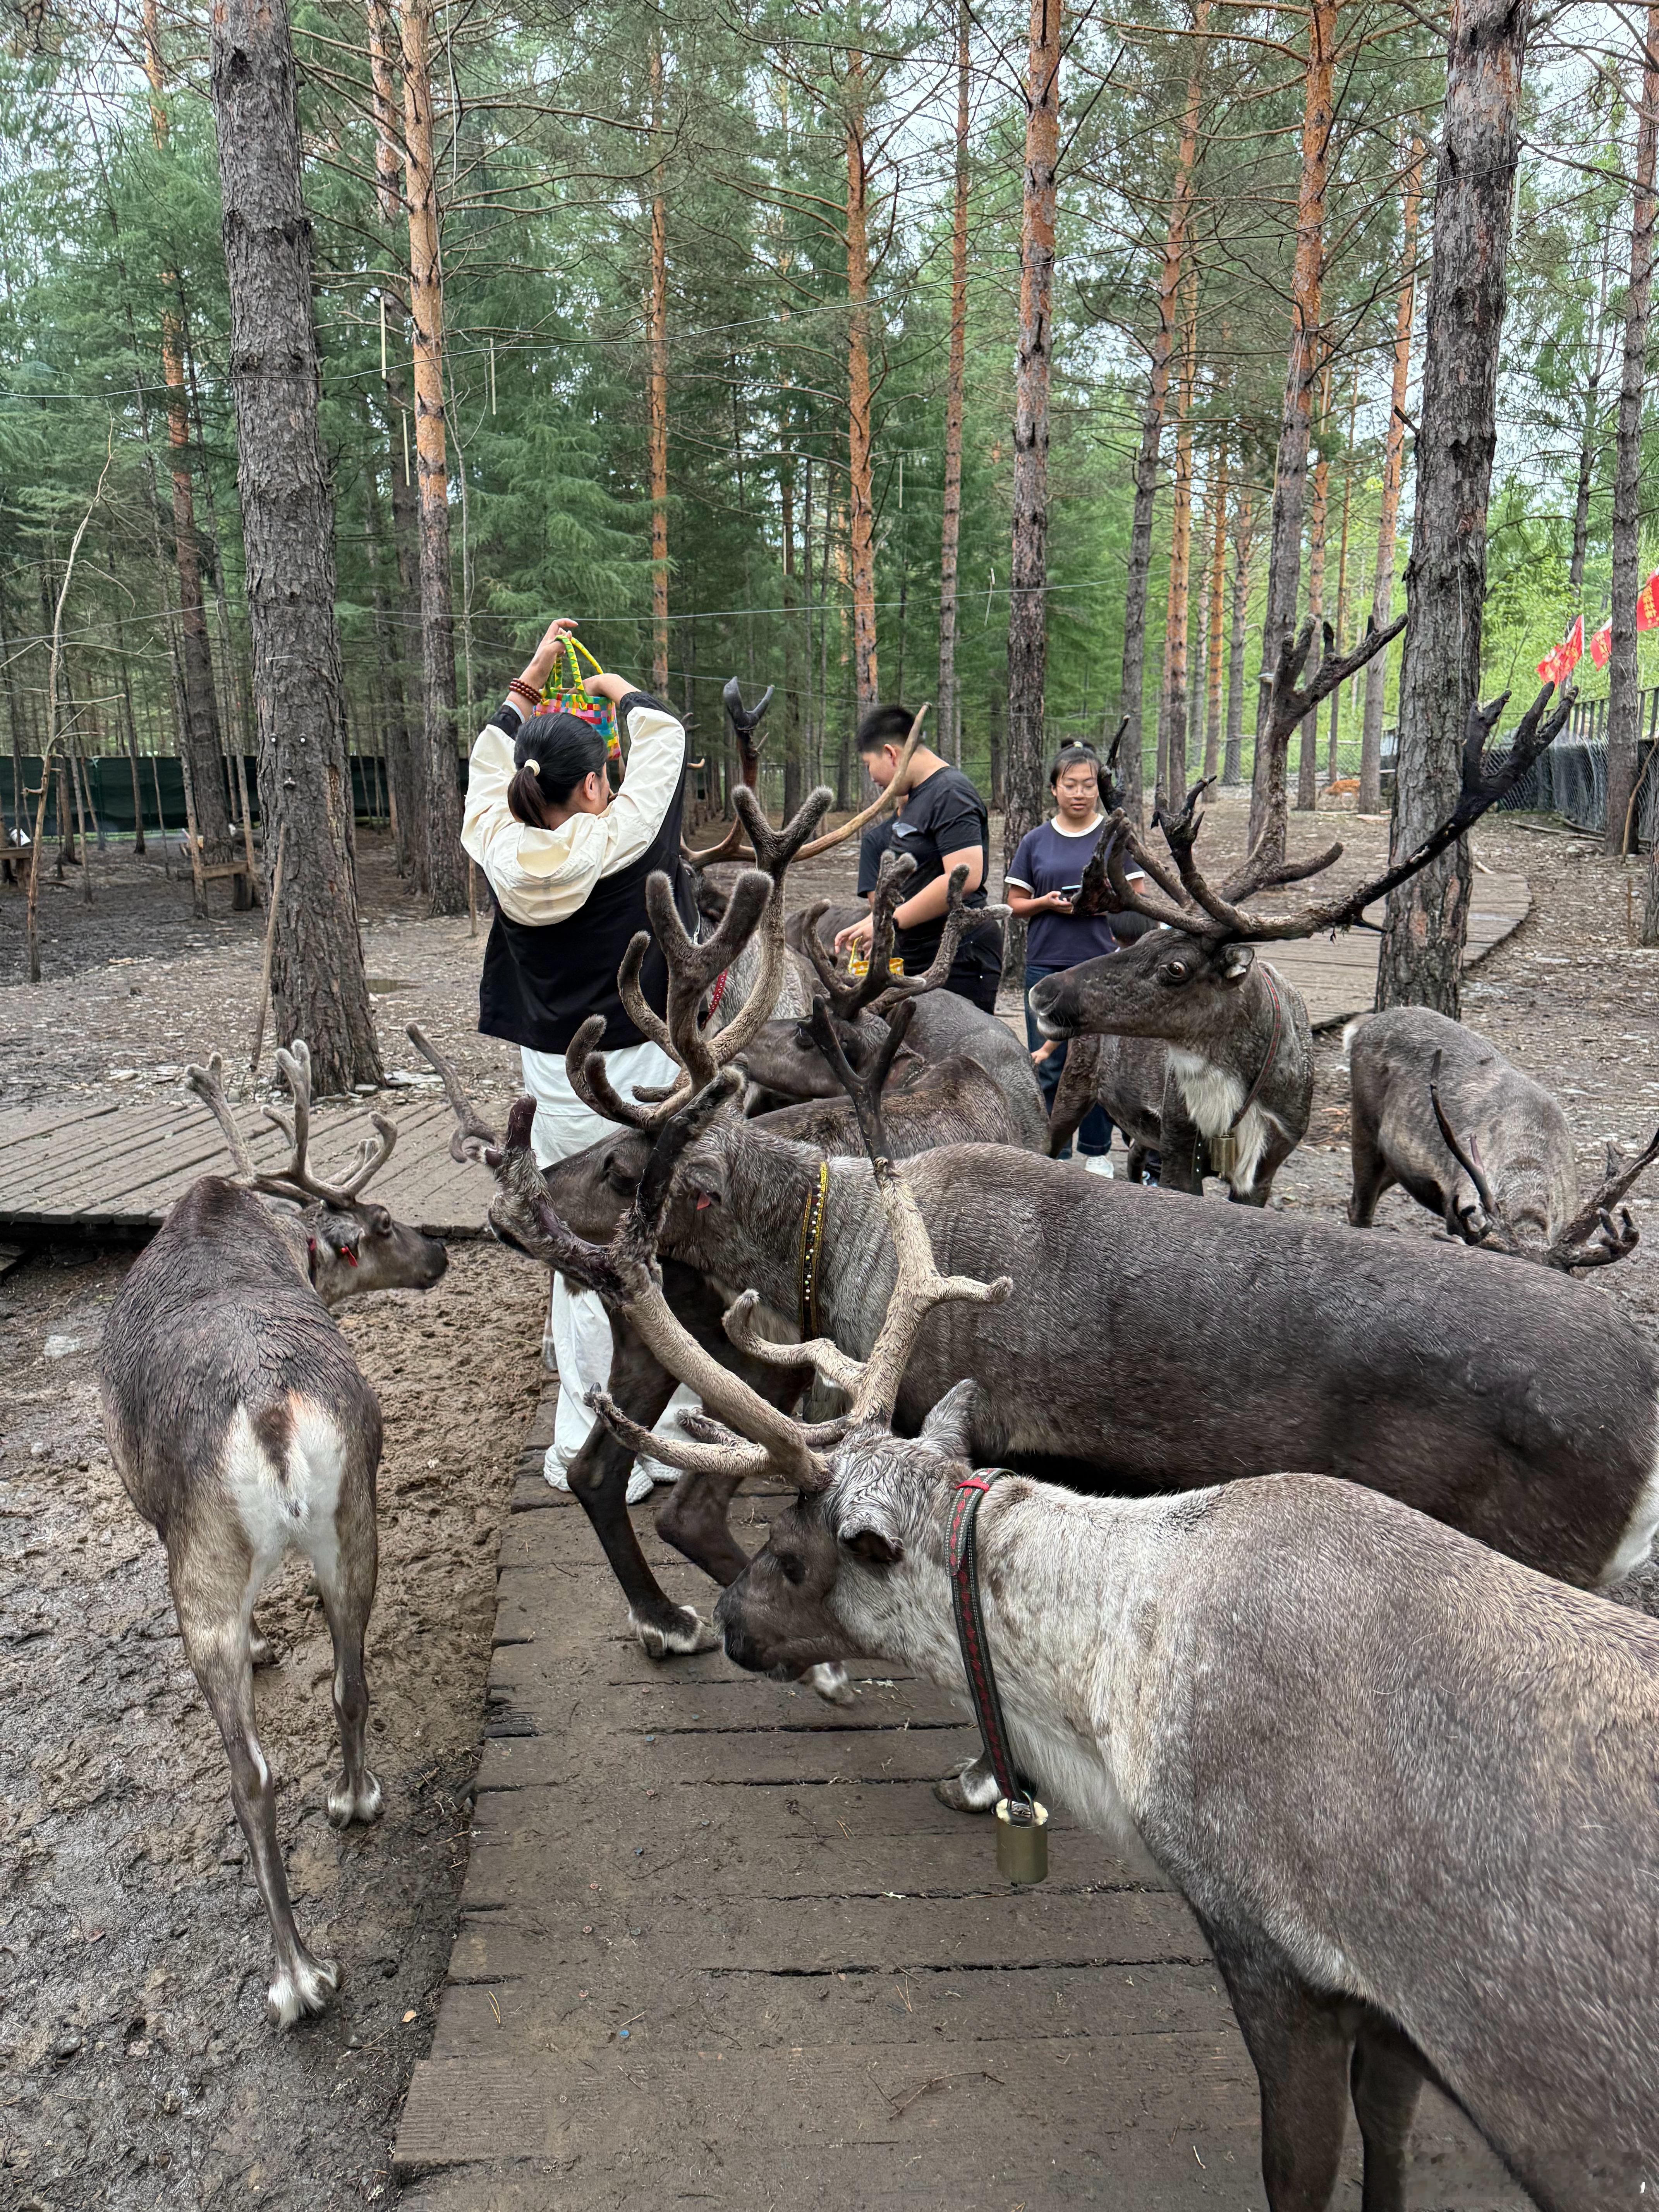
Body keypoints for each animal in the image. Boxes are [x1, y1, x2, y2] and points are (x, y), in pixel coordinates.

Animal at [98, 1044, 449, 2026]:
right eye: (388, 1220)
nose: (445, 1251)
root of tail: (269, 1411)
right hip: (355, 1516)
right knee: (350, 1682)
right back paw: (355, 1798)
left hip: (205, 1570)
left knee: (248, 1775)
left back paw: (296, 1975)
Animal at [1029, 634, 1572, 1205]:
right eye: (1138, 944)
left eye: (1175, 968)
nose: (1043, 993)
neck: (1233, 1101)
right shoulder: (1180, 1144)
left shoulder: (1268, 1163)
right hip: (1079, 1084)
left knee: (1133, 1154)